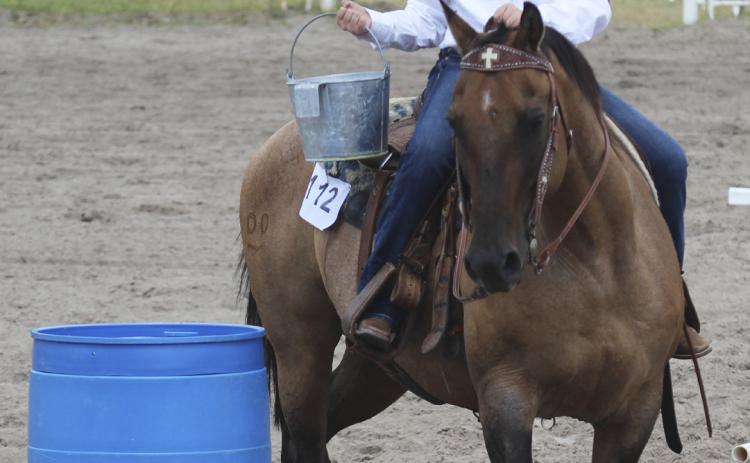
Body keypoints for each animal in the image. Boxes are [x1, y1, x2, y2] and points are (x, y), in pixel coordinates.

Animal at [239, 3, 684, 462]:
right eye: (453, 122)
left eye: (536, 118)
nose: (490, 262)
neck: (597, 268)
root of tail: (278, 143)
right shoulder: (505, 399)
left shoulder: (635, 410)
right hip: (299, 348)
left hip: (379, 368)